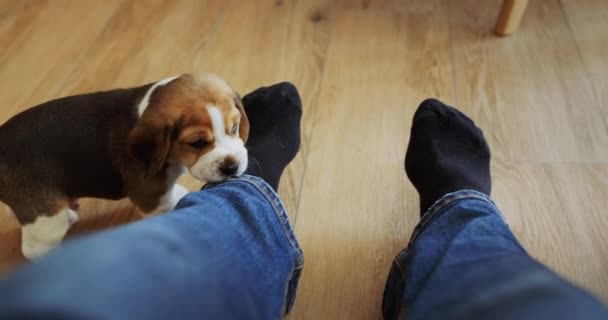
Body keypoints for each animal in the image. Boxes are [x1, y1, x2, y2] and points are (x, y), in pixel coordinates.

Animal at [0, 73, 249, 260]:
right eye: (197, 143)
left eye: (234, 127)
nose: (232, 167)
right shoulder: (150, 197)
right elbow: (166, 206)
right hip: (45, 221)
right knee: (34, 249)